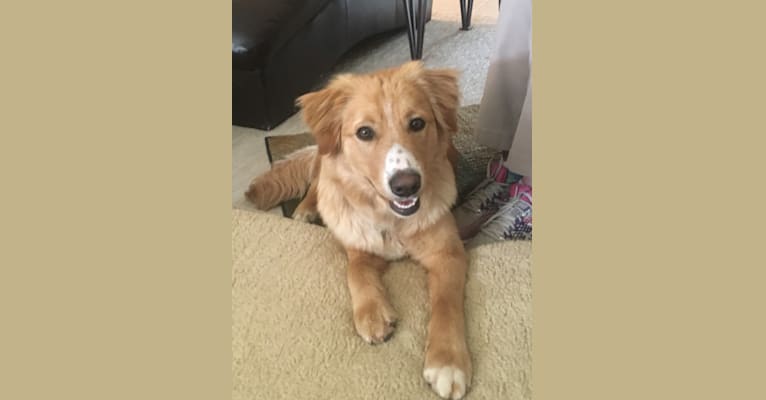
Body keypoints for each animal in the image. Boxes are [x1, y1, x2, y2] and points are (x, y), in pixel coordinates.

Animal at [249, 61, 472, 398]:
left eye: (417, 123)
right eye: (364, 132)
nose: (407, 185)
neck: (391, 221)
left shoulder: (447, 253)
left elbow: (445, 302)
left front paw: (447, 363)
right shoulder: (358, 245)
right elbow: (356, 272)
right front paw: (372, 313)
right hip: (324, 161)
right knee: (318, 180)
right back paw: (306, 208)